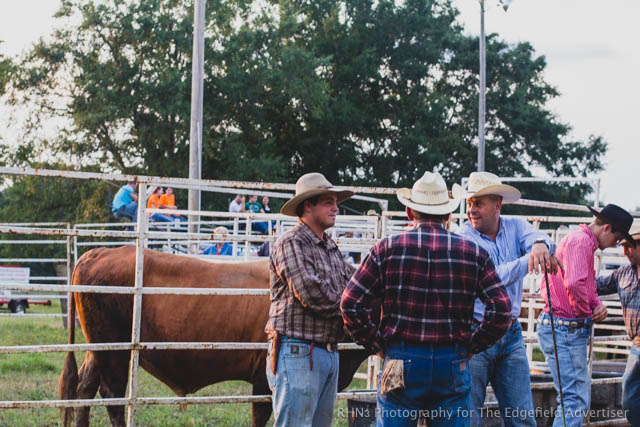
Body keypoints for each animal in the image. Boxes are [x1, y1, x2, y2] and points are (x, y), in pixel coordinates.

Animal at [58, 246, 372, 427]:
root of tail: (94, 254)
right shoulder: (265, 379)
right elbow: (260, 415)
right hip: (114, 351)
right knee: (111, 396)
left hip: (100, 348)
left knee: (84, 387)